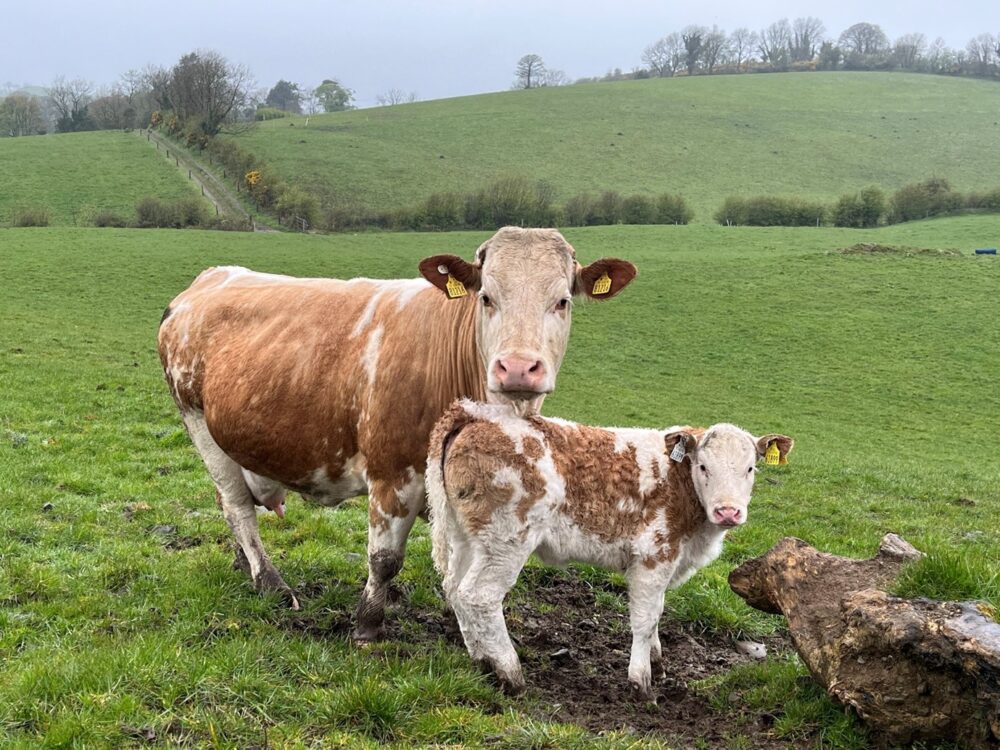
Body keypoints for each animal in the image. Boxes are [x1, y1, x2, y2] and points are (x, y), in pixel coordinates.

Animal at [157, 227, 636, 641]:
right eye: (486, 297)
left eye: (562, 301)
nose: (517, 368)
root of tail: (210, 278)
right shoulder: (392, 474)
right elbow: (385, 559)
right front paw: (368, 625)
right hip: (197, 421)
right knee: (236, 505)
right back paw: (270, 582)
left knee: (230, 504)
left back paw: (244, 564)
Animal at [426, 399, 794, 698]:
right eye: (703, 467)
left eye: (750, 468)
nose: (728, 511)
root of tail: (476, 414)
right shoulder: (653, 556)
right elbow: (645, 618)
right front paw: (641, 681)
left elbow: (659, 611)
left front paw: (657, 662)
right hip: (507, 540)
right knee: (479, 596)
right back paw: (509, 672)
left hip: (467, 537)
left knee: (455, 590)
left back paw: (481, 659)